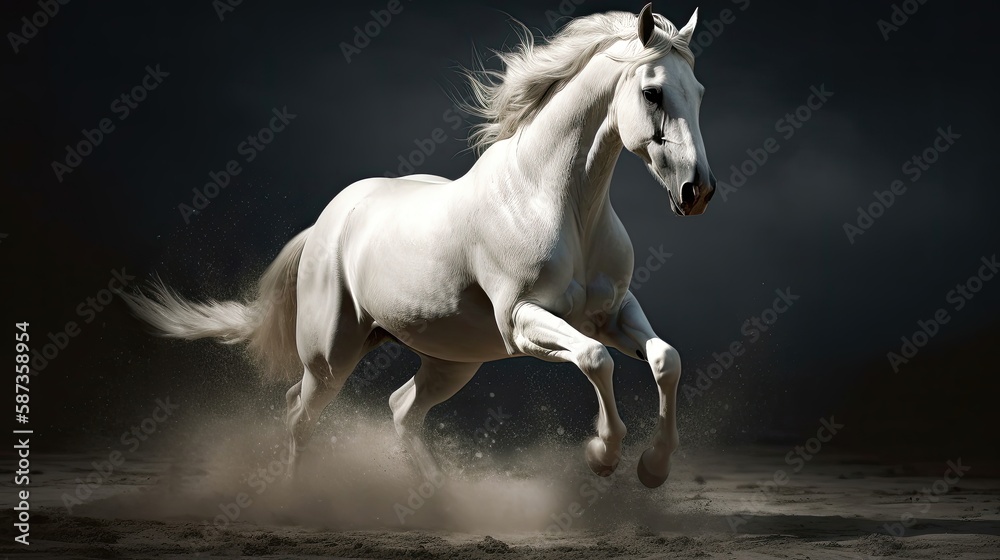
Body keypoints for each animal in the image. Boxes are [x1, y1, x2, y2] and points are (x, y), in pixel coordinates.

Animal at [125, 3, 716, 489]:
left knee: (400, 409)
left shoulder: (611, 312)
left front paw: (653, 468)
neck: (556, 202)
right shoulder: (522, 321)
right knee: (300, 412)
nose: (697, 191)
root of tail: (325, 225)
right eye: (652, 92)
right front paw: (602, 455)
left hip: (451, 359)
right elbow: (596, 360)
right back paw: (296, 499)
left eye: (700, 93)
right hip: (331, 355)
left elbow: (665, 359)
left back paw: (438, 501)